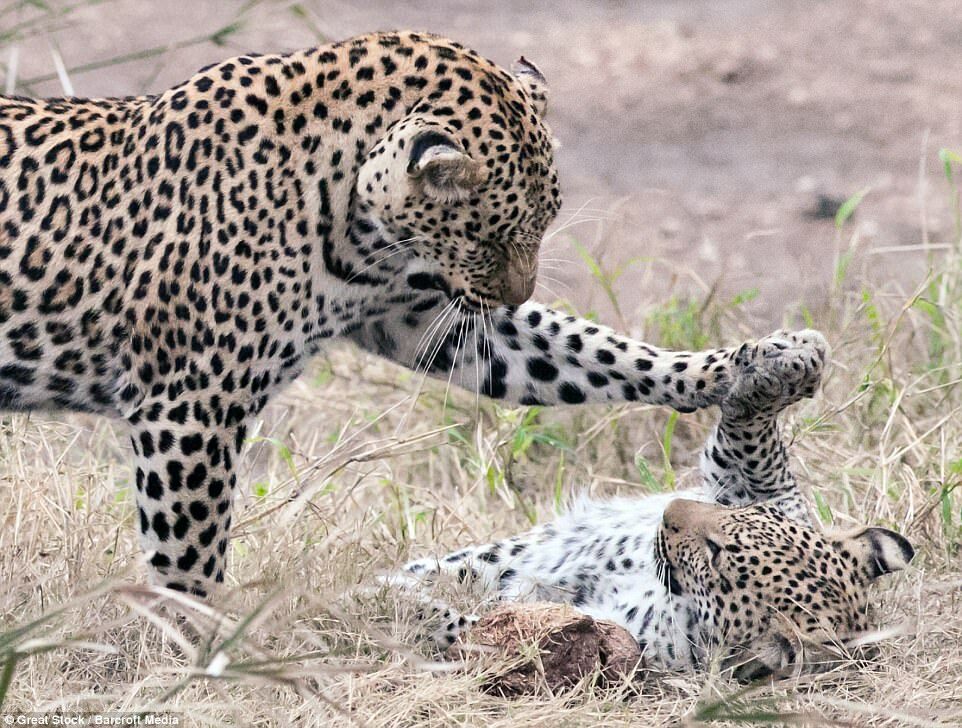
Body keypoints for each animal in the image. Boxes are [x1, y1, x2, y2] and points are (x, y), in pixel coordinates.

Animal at [0, 29, 816, 596]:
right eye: (490, 235)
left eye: (546, 222)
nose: (516, 294)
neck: (346, 214)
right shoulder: (190, 403)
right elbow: (188, 553)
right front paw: (202, 648)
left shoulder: (421, 317)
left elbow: (596, 355)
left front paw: (749, 365)